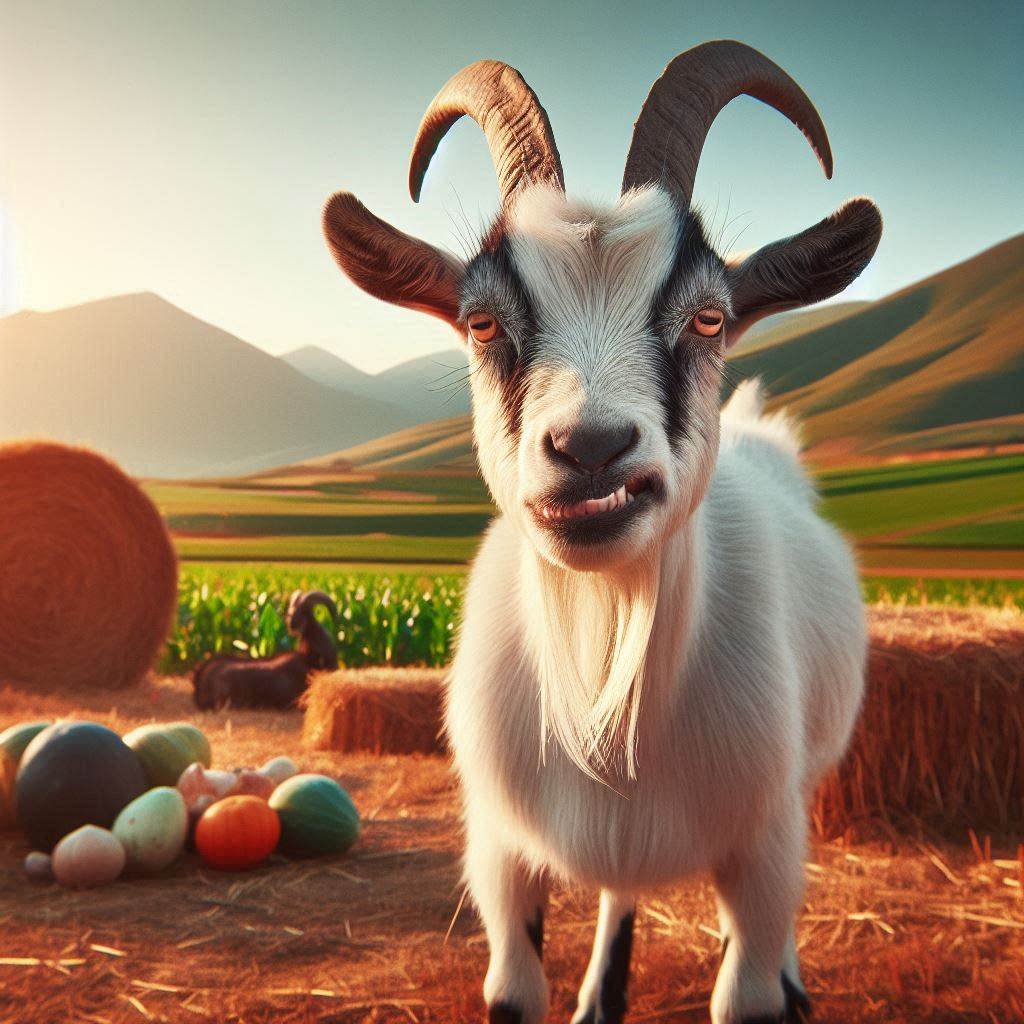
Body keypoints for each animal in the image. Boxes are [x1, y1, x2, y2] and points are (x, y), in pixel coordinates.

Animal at [322, 41, 880, 1024]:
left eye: (709, 316)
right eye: (482, 321)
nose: (590, 451)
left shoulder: (764, 846)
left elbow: (749, 981)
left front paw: (777, 985)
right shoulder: (500, 855)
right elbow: (514, 987)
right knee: (621, 884)